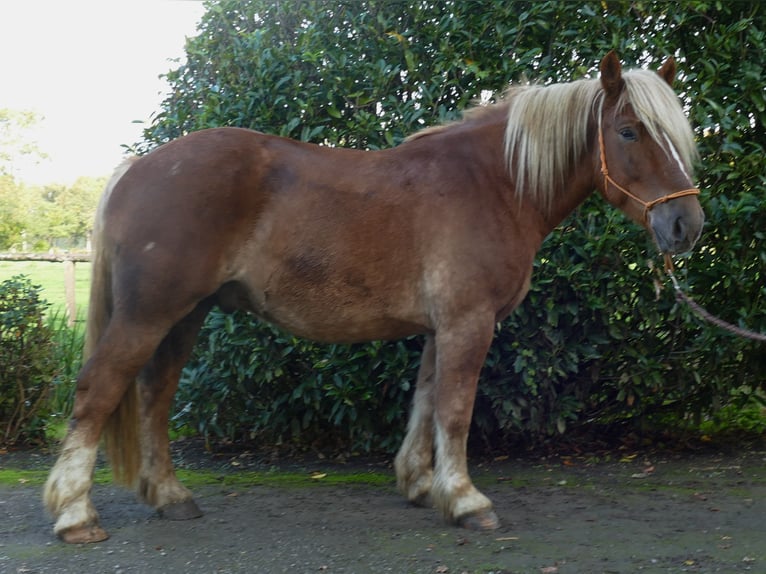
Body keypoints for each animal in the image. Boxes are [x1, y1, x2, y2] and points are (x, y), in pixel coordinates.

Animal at [44, 51, 704, 543]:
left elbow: (427, 401)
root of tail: (135, 169)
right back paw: (75, 514)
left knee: (155, 394)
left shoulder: (443, 326)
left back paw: (170, 496)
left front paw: (421, 485)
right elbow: (455, 411)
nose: (685, 226)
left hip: (185, 316)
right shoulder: (469, 322)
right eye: (628, 131)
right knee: (100, 390)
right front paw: (466, 501)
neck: (493, 184)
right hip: (148, 314)